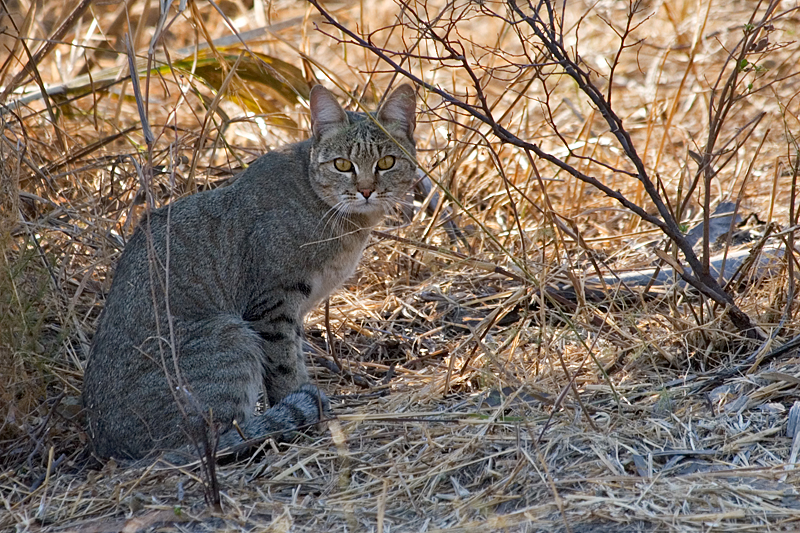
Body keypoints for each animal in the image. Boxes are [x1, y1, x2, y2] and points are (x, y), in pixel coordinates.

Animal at [82, 85, 418, 460]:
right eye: (342, 165)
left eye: (386, 162)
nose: (366, 190)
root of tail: (107, 448)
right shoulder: (273, 305)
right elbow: (285, 368)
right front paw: (304, 413)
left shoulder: (291, 312)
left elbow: (295, 358)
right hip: (230, 337)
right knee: (215, 443)